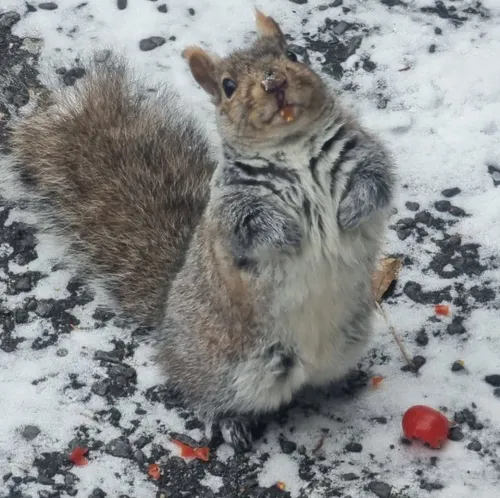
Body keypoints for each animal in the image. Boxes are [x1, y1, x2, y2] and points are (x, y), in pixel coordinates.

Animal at [3, 10, 394, 452]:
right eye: (228, 86)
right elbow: (253, 226)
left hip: (347, 341)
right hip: (231, 370)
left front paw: (350, 210)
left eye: (293, 54)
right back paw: (228, 421)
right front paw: (291, 235)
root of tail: (167, 326)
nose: (273, 81)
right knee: (201, 395)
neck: (290, 144)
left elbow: (376, 183)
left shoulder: (365, 156)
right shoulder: (232, 208)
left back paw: (345, 382)